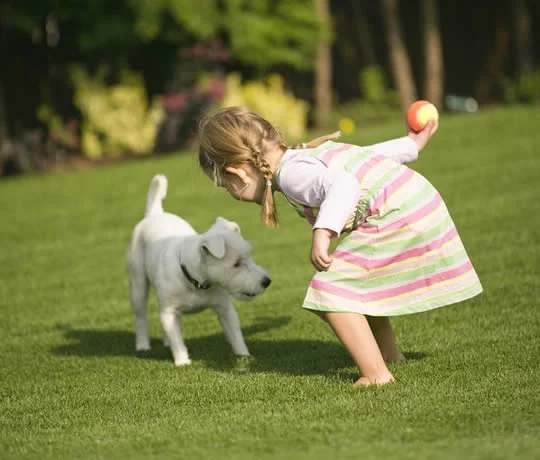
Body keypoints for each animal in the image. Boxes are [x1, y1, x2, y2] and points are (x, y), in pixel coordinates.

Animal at [125, 174, 270, 364]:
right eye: (237, 264)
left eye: (249, 257)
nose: (267, 281)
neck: (196, 281)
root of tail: (155, 213)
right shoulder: (169, 312)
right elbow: (177, 340)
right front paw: (182, 362)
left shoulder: (225, 308)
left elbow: (235, 335)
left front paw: (243, 356)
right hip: (138, 285)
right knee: (141, 316)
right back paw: (143, 345)